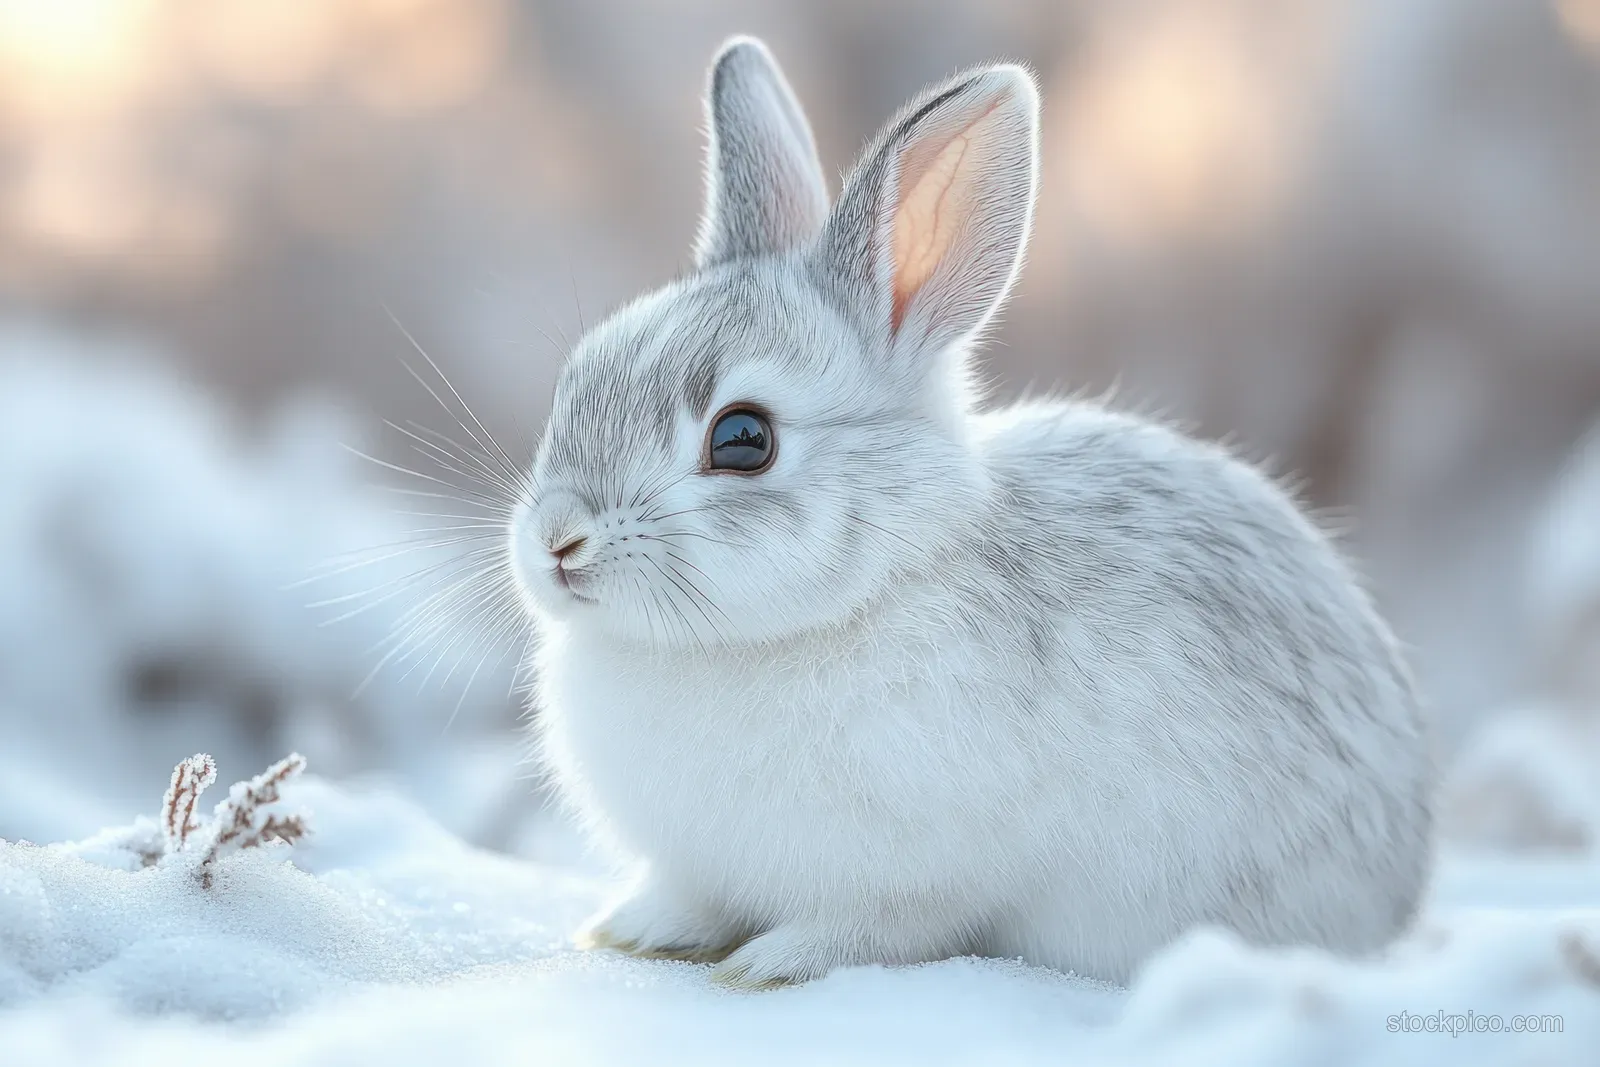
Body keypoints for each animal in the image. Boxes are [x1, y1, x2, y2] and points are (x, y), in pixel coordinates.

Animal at [509, 35, 1434, 989]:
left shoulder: (917, 876)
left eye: (742, 438)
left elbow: (875, 928)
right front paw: (635, 929)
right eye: (578, 376)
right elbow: (692, 898)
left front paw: (769, 963)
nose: (557, 542)